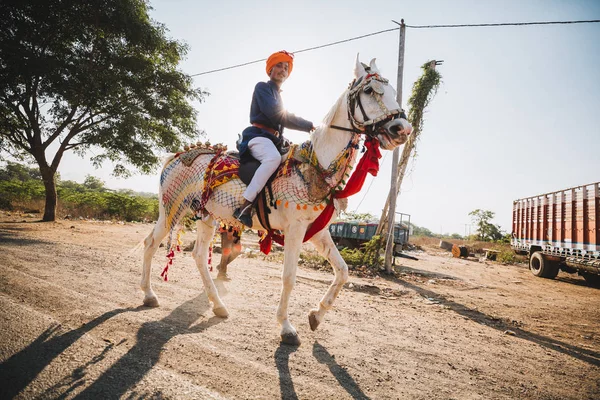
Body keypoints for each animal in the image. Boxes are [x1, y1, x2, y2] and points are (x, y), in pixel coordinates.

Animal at [141, 55, 412, 344]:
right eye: (370, 90)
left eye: (392, 90)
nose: (402, 129)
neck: (316, 166)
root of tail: (177, 156)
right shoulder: (295, 230)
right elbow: (289, 277)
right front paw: (286, 327)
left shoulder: (318, 232)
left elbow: (342, 271)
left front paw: (317, 315)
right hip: (171, 210)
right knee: (151, 243)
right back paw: (149, 295)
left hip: (206, 217)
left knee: (199, 256)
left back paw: (218, 305)